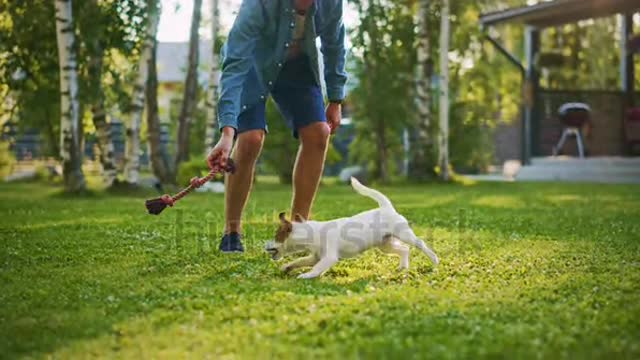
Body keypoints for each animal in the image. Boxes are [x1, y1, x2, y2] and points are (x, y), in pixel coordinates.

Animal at [264, 177, 440, 278]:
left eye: (276, 236)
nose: (265, 245)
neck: (313, 233)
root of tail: (386, 207)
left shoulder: (329, 257)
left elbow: (317, 268)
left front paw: (307, 275)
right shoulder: (316, 256)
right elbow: (300, 261)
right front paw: (287, 267)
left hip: (404, 234)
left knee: (420, 244)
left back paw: (434, 259)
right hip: (385, 244)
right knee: (404, 249)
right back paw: (403, 267)